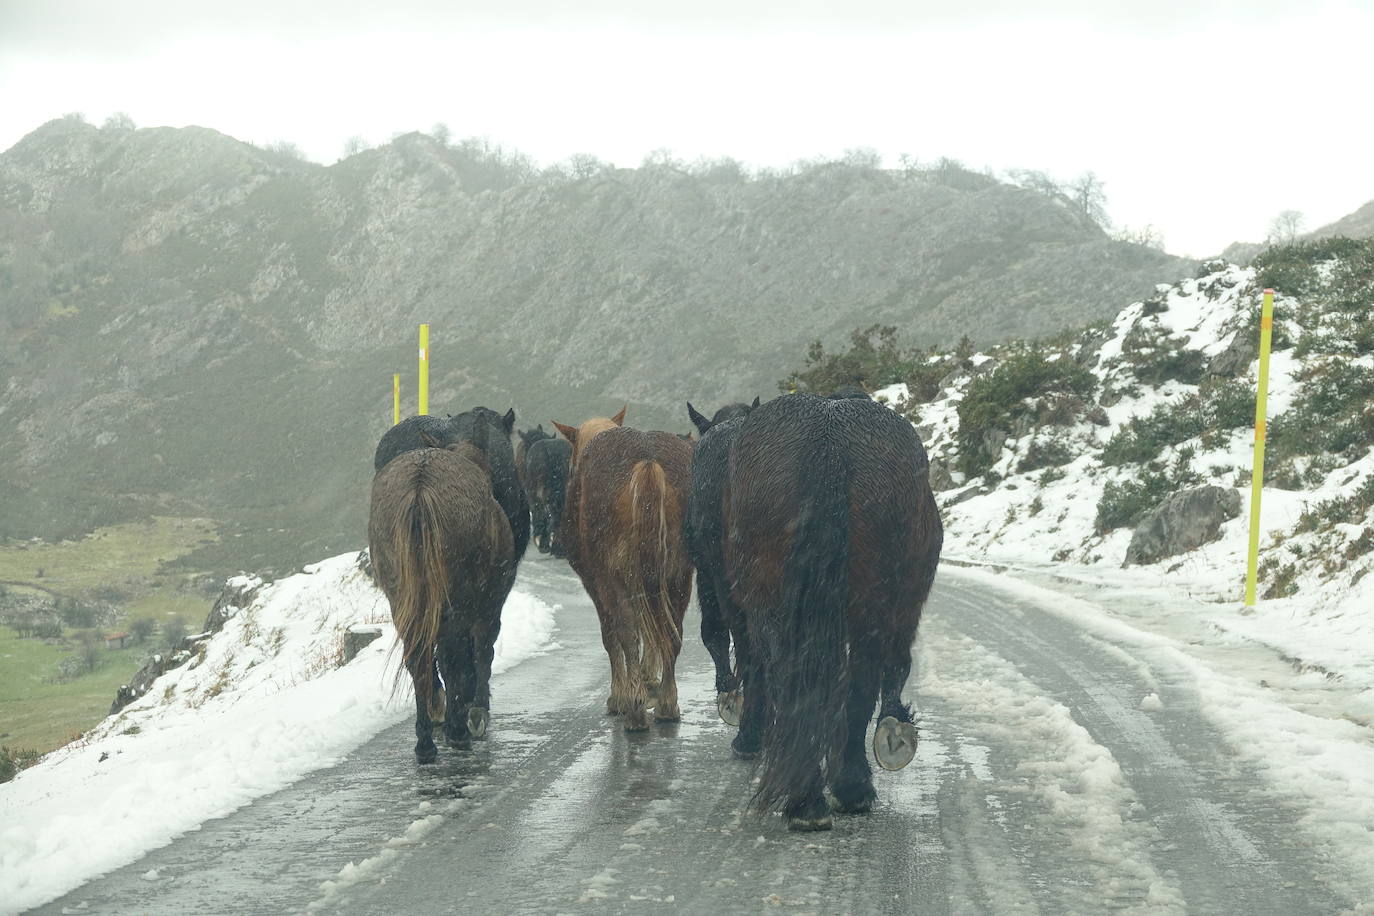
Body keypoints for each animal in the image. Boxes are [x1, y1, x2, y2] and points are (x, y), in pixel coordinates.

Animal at [365, 431, 516, 769]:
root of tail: (420, 487)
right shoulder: (488, 609)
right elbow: (480, 655)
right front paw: (475, 712)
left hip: (404, 600)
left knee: (418, 659)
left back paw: (426, 740)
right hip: (456, 602)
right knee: (451, 657)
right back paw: (456, 730)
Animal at [552, 409, 692, 730]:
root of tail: (647, 461)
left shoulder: (595, 581)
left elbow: (612, 634)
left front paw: (620, 694)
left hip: (613, 574)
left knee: (627, 630)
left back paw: (635, 709)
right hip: (679, 572)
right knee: (673, 632)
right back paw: (667, 703)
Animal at [725, 395, 939, 829]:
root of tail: (828, 444)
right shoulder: (903, 611)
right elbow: (896, 667)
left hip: (777, 609)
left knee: (795, 681)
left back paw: (810, 797)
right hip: (870, 608)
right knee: (856, 682)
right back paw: (844, 788)